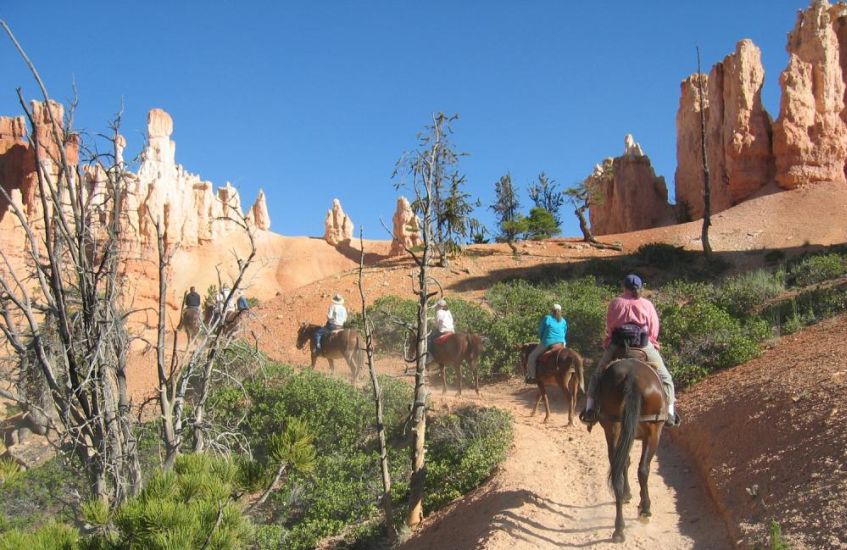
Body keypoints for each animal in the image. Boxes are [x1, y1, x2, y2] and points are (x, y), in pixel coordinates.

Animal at [596, 358, 668, 544]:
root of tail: (632, 377)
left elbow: (625, 462)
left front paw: (627, 494)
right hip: (654, 430)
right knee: (643, 469)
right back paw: (645, 510)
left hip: (613, 427)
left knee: (618, 471)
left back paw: (619, 529)